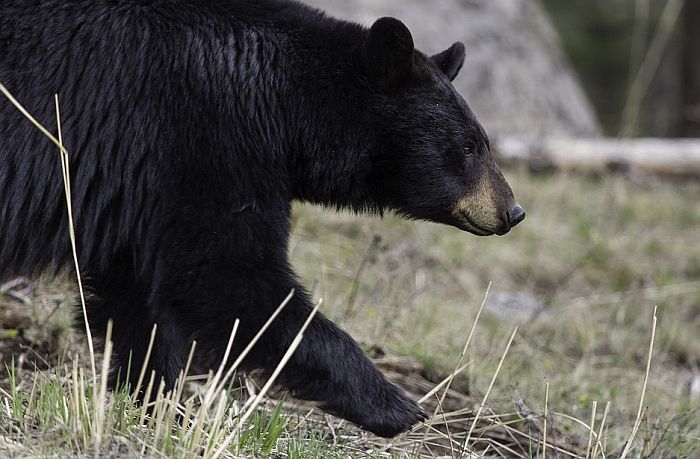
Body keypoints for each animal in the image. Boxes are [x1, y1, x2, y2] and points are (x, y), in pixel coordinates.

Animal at [1, 0, 524, 438]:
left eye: (481, 141)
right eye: (469, 147)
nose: (513, 211)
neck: (282, 100)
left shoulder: (141, 190)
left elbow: (133, 297)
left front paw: (161, 405)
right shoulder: (203, 139)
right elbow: (226, 278)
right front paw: (397, 406)